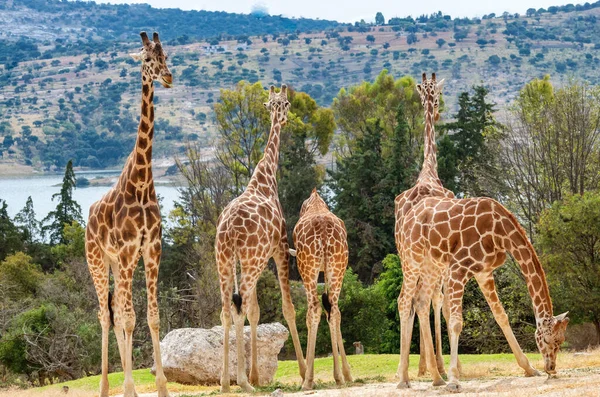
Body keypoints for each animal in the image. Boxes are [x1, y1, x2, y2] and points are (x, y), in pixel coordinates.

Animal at [216, 84, 308, 392]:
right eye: (286, 103)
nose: (284, 119)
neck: (266, 178)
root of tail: (230, 231)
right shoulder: (279, 249)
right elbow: (288, 308)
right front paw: (303, 371)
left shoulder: (256, 259)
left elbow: (256, 311)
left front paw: (257, 374)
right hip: (251, 261)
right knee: (238, 307)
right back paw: (243, 383)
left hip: (225, 261)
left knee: (227, 309)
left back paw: (225, 382)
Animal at [292, 188, 354, 390]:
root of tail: (325, 231)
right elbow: (334, 312)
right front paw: (346, 374)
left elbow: (309, 315)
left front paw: (306, 375)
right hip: (338, 265)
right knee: (333, 310)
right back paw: (339, 377)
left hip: (307, 268)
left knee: (315, 309)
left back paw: (308, 381)